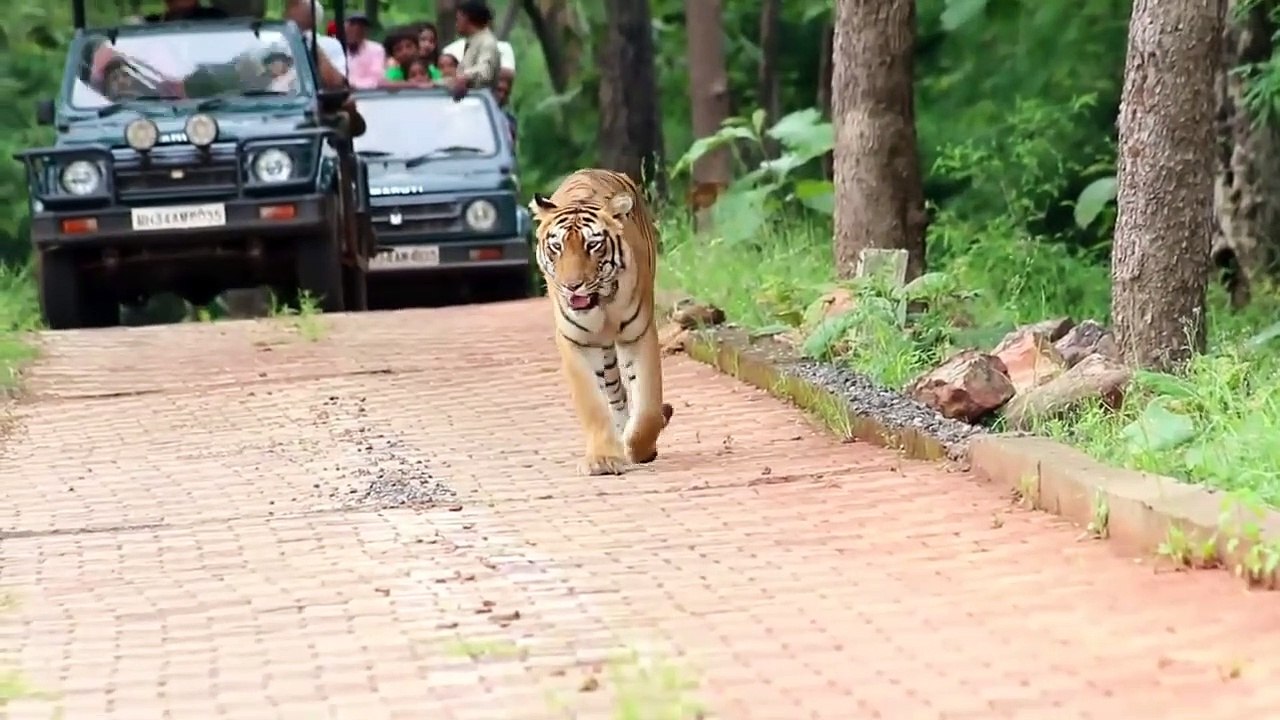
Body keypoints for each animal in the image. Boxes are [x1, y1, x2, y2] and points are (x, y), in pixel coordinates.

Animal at [529, 168, 674, 476]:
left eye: (592, 245)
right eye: (556, 247)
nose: (572, 286)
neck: (602, 305)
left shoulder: (639, 334)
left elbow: (647, 406)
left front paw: (639, 449)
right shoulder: (575, 341)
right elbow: (593, 406)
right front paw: (603, 459)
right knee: (614, 393)